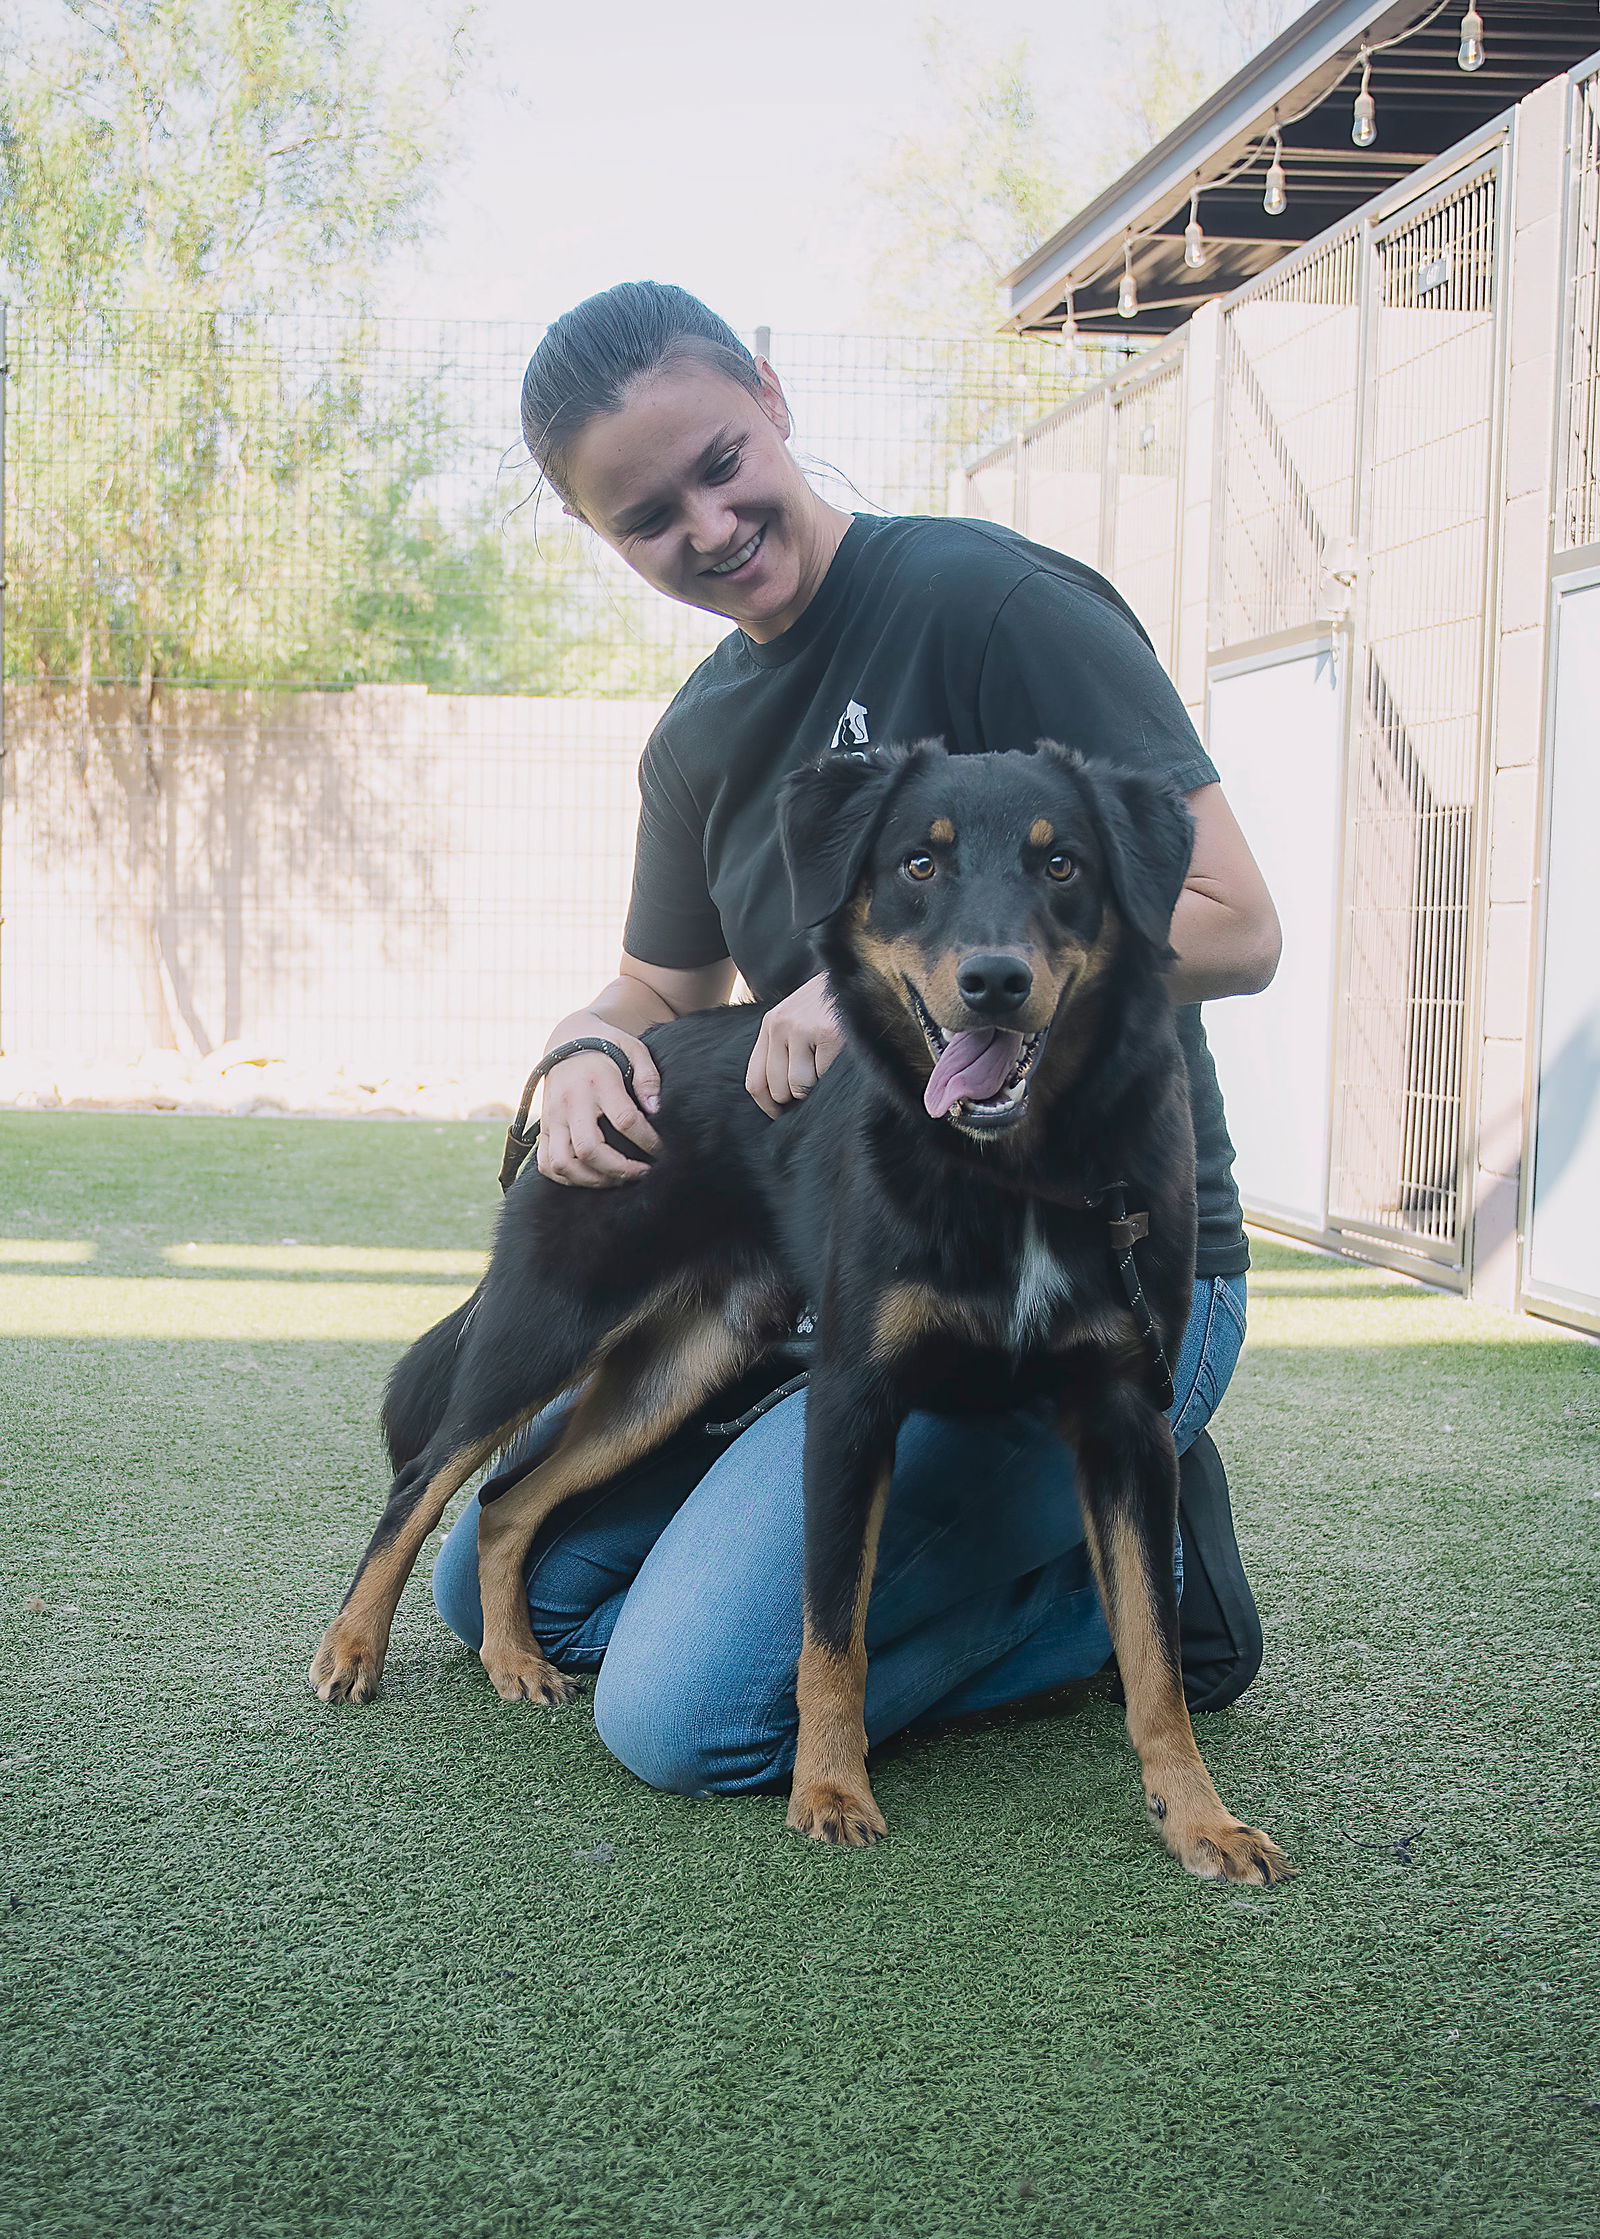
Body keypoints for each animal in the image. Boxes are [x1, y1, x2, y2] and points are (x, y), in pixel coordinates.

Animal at [315, 743, 1297, 1880]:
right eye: (920, 862)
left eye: (1064, 865)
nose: (994, 982)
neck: (1010, 1173)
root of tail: (603, 1062)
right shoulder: (850, 1406)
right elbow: (833, 1627)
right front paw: (828, 1788)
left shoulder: (1127, 1422)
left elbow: (1153, 1651)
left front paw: (1198, 1815)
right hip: (547, 1327)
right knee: (429, 1479)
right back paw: (350, 1648)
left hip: (680, 1367)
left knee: (509, 1498)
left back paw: (513, 1658)